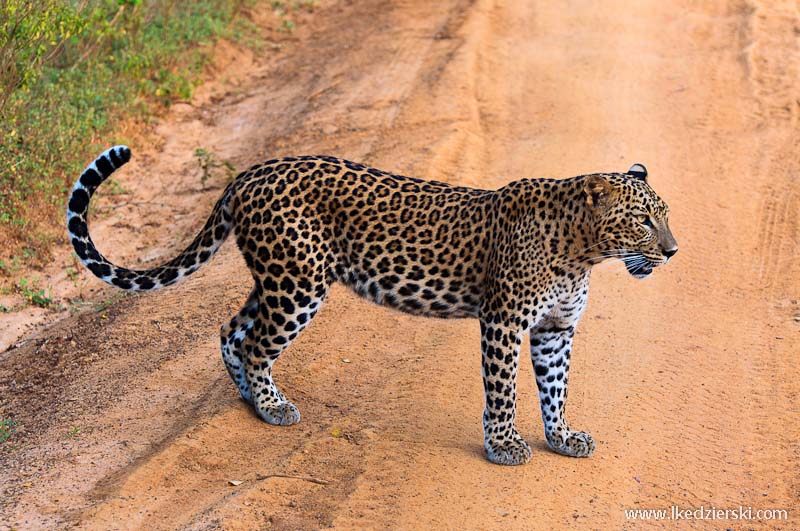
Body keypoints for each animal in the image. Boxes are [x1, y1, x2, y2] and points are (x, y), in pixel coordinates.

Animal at [65, 145, 676, 466]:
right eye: (645, 220)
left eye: (664, 216)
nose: (672, 251)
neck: (583, 252)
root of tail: (250, 173)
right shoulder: (503, 321)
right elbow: (504, 390)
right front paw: (504, 445)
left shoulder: (556, 328)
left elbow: (555, 388)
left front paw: (562, 437)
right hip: (298, 283)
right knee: (257, 343)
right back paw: (273, 407)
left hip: (279, 278)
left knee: (231, 329)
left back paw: (251, 401)